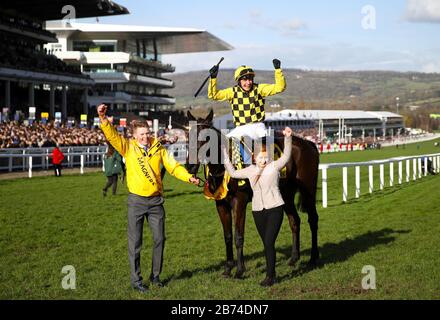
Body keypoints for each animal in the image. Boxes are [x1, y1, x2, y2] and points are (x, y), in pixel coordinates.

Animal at [185, 109, 320, 278]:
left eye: (206, 138)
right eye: (187, 136)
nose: (189, 166)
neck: (223, 167)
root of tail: (308, 143)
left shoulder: (239, 201)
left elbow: (238, 235)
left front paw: (239, 270)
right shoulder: (221, 204)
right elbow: (227, 236)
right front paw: (228, 268)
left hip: (308, 190)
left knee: (313, 219)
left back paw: (314, 258)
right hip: (286, 194)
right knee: (294, 221)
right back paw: (294, 258)